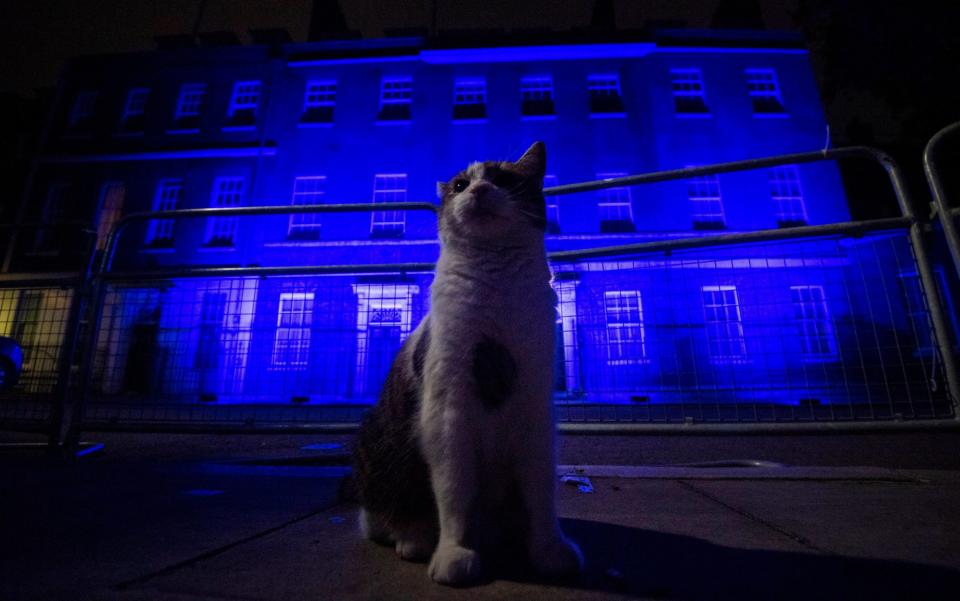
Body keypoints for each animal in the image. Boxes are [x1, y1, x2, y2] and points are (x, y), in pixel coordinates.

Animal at [348, 143, 580, 584]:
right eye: (459, 185)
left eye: (503, 179)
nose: (479, 190)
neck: (497, 289)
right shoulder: (448, 412)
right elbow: (454, 490)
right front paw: (454, 554)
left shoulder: (536, 410)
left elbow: (541, 491)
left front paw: (549, 550)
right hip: (377, 445)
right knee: (376, 518)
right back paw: (414, 538)